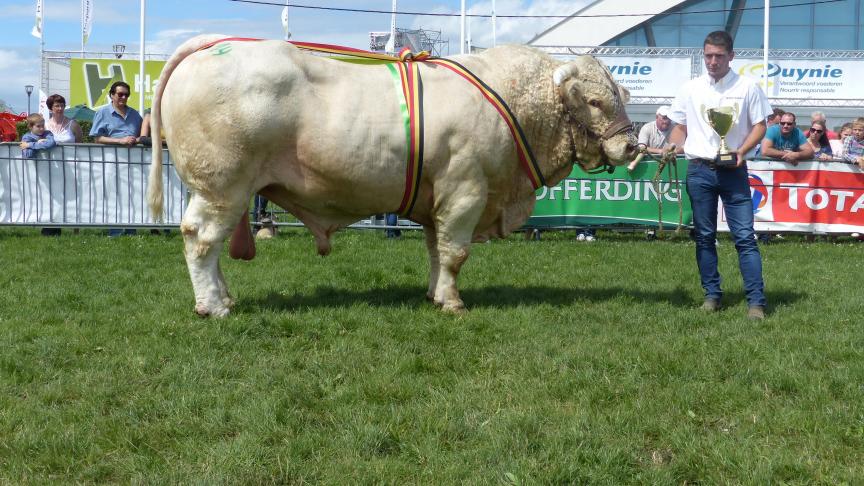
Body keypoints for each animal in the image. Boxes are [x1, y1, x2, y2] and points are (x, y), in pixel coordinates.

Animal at [147, 34, 636, 316]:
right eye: (595, 101)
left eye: (617, 94)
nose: (632, 145)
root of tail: (208, 47)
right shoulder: (465, 190)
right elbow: (456, 253)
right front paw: (453, 304)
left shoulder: (439, 199)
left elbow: (436, 251)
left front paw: (435, 294)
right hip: (222, 186)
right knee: (201, 239)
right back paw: (213, 306)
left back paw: (225, 296)